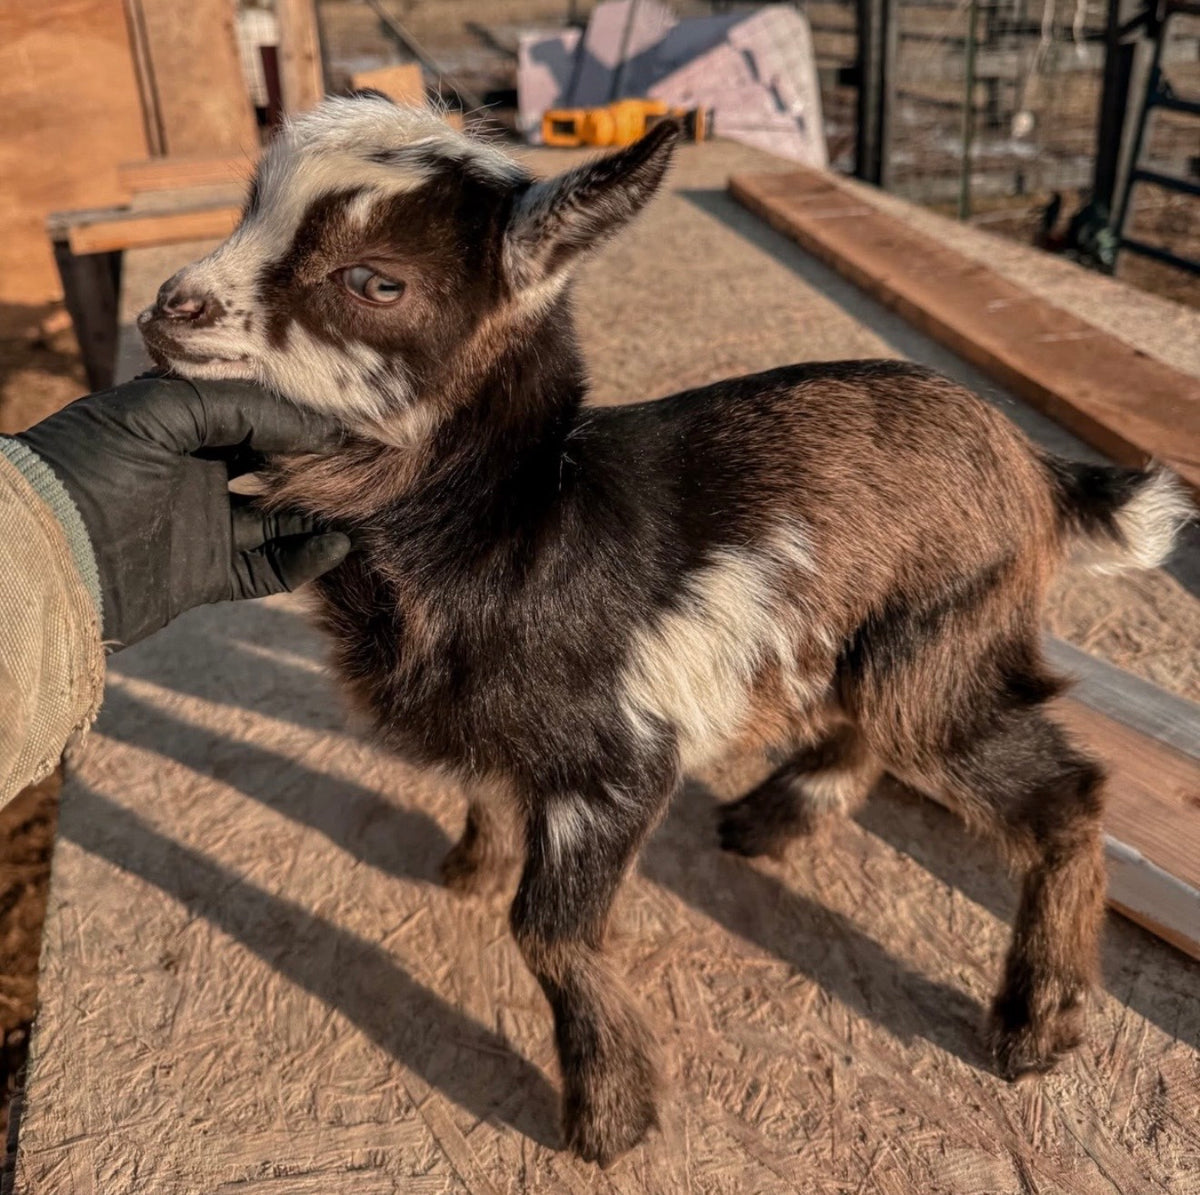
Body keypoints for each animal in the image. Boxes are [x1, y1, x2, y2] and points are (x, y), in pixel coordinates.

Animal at [138, 95, 1192, 1165]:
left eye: (374, 279)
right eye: (249, 210)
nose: (169, 307)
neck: (518, 523)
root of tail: (1042, 471)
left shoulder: (619, 756)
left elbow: (549, 930)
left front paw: (610, 1113)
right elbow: (487, 787)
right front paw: (470, 868)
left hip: (949, 626)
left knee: (1057, 787)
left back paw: (1036, 1021)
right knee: (871, 723)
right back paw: (769, 818)